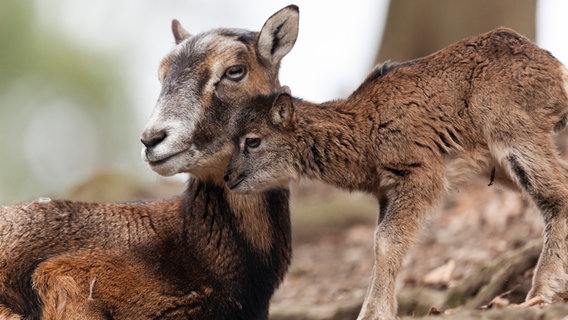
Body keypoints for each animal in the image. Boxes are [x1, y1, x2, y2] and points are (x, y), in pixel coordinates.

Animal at [224, 28, 568, 318]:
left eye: (252, 141)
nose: (228, 177)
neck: (363, 134)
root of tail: (557, 71)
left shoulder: (420, 172)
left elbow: (386, 242)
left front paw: (373, 313)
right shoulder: (385, 191)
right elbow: (380, 244)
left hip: (512, 130)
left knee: (557, 197)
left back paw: (540, 291)